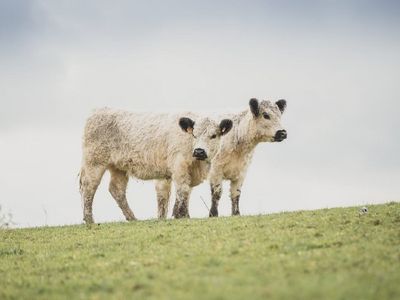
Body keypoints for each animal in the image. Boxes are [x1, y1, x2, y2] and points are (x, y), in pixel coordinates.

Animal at [78, 107, 233, 223]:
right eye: (194, 134)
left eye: (213, 136)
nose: (199, 151)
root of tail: (98, 111)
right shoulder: (179, 166)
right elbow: (182, 190)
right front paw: (181, 216)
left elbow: (186, 193)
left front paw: (181, 214)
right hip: (94, 162)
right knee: (89, 187)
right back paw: (89, 219)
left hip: (118, 167)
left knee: (116, 189)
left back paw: (132, 218)